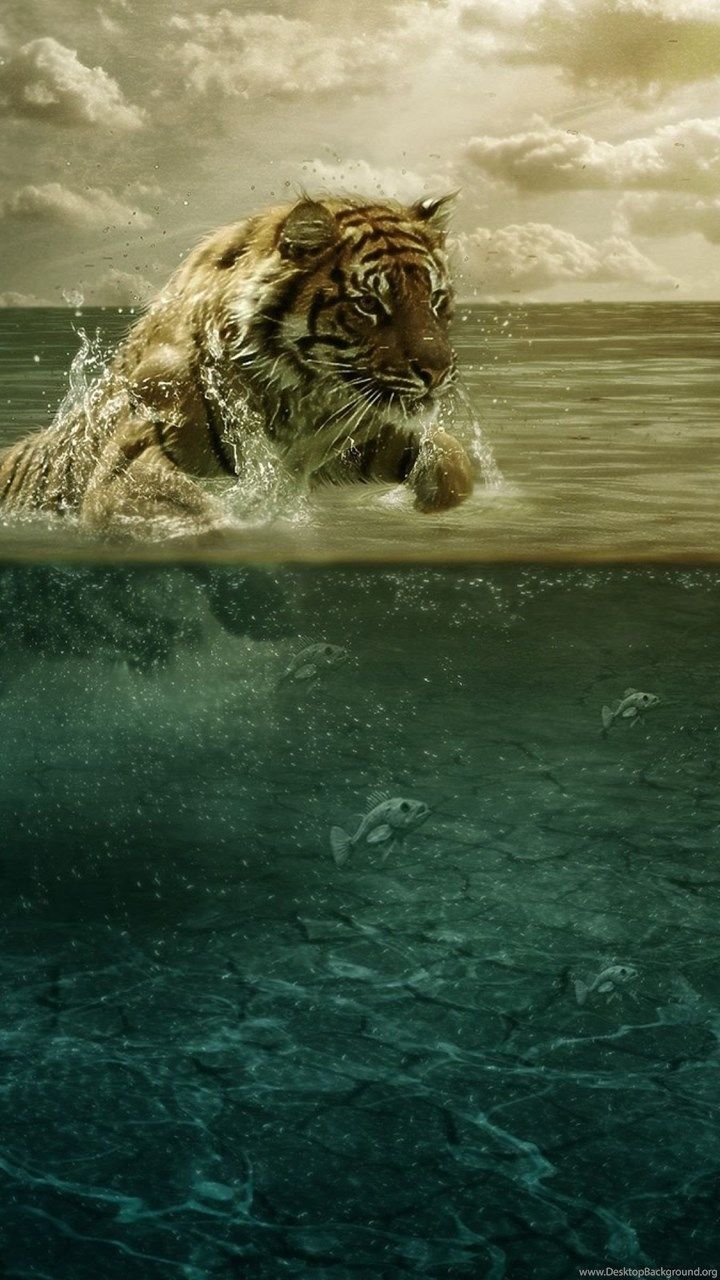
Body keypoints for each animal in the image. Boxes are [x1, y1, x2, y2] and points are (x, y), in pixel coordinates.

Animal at [0, 193, 475, 538]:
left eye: (436, 299)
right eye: (369, 305)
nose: (437, 372)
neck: (301, 400)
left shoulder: (348, 442)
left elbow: (452, 459)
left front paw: (431, 500)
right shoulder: (128, 468)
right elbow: (198, 517)